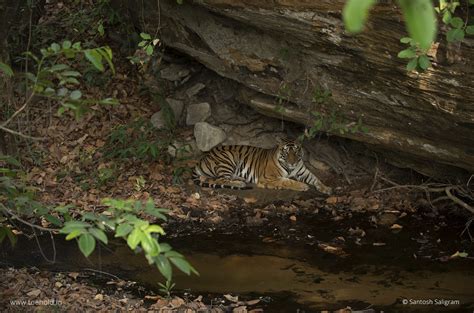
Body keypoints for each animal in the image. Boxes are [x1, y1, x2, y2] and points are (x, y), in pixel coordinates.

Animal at [191, 138, 332, 194]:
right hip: (229, 156)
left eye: (296, 152)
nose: (292, 163)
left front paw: (326, 188)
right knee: (221, 180)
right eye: (286, 152)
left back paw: (240, 179)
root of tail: (202, 158)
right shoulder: (268, 177)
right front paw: (303, 186)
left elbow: (315, 179)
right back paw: (240, 183)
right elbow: (288, 181)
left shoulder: (303, 171)